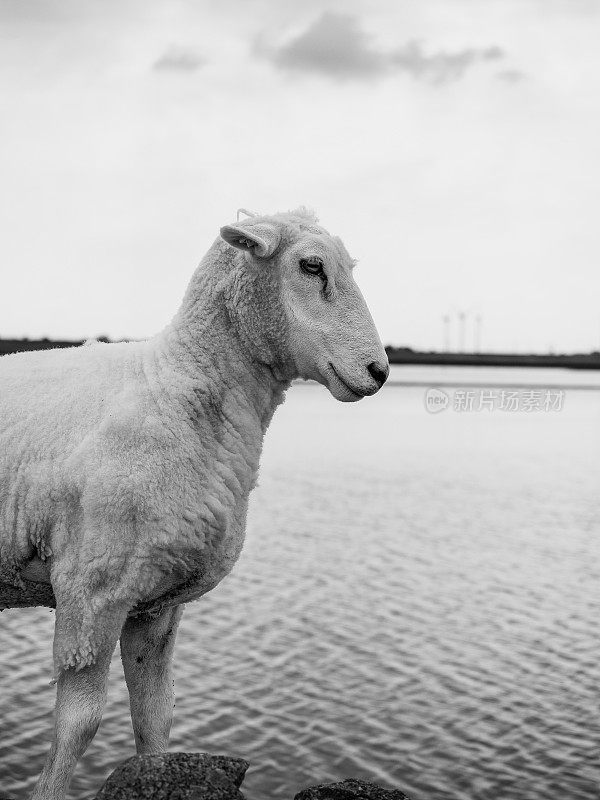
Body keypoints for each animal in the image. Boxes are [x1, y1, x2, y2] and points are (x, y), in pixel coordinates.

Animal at [0, 208, 390, 800]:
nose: (379, 371)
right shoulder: (90, 589)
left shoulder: (155, 601)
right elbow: (78, 725)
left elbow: (155, 716)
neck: (176, 383)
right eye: (311, 266)